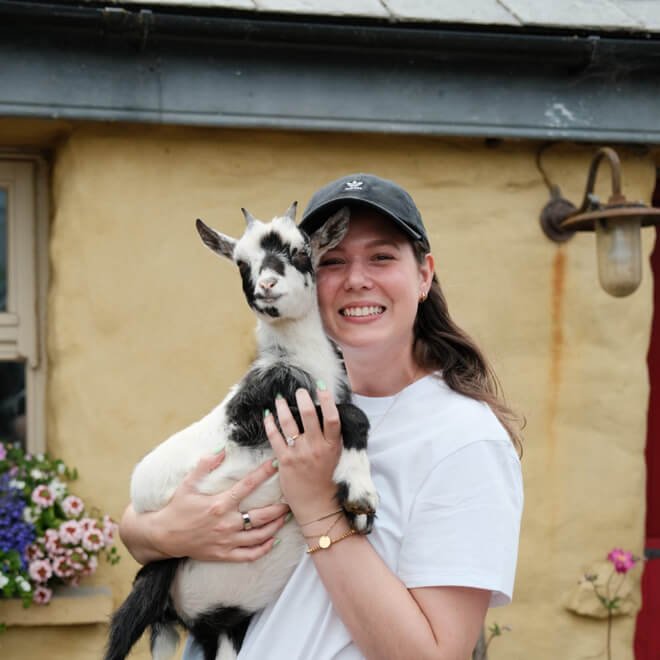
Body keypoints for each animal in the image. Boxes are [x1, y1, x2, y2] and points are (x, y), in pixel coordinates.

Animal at [106, 202, 378, 660]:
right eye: (241, 263)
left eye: (301, 251)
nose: (267, 286)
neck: (301, 361)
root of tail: (184, 616)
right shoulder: (270, 414)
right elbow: (354, 416)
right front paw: (361, 494)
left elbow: (353, 416)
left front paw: (356, 501)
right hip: (154, 577)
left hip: (227, 624)